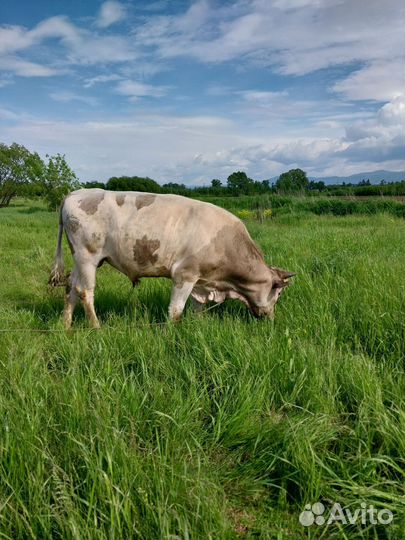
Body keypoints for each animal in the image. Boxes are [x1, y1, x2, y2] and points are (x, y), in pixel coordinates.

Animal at [48, 188, 294, 326]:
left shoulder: (200, 281)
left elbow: (197, 309)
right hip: (87, 257)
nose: (271, 319)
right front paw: (171, 334)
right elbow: (175, 311)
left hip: (80, 260)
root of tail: (75, 193)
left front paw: (199, 328)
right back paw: (96, 327)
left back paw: (66, 325)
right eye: (279, 293)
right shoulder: (184, 275)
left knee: (71, 287)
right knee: (85, 292)